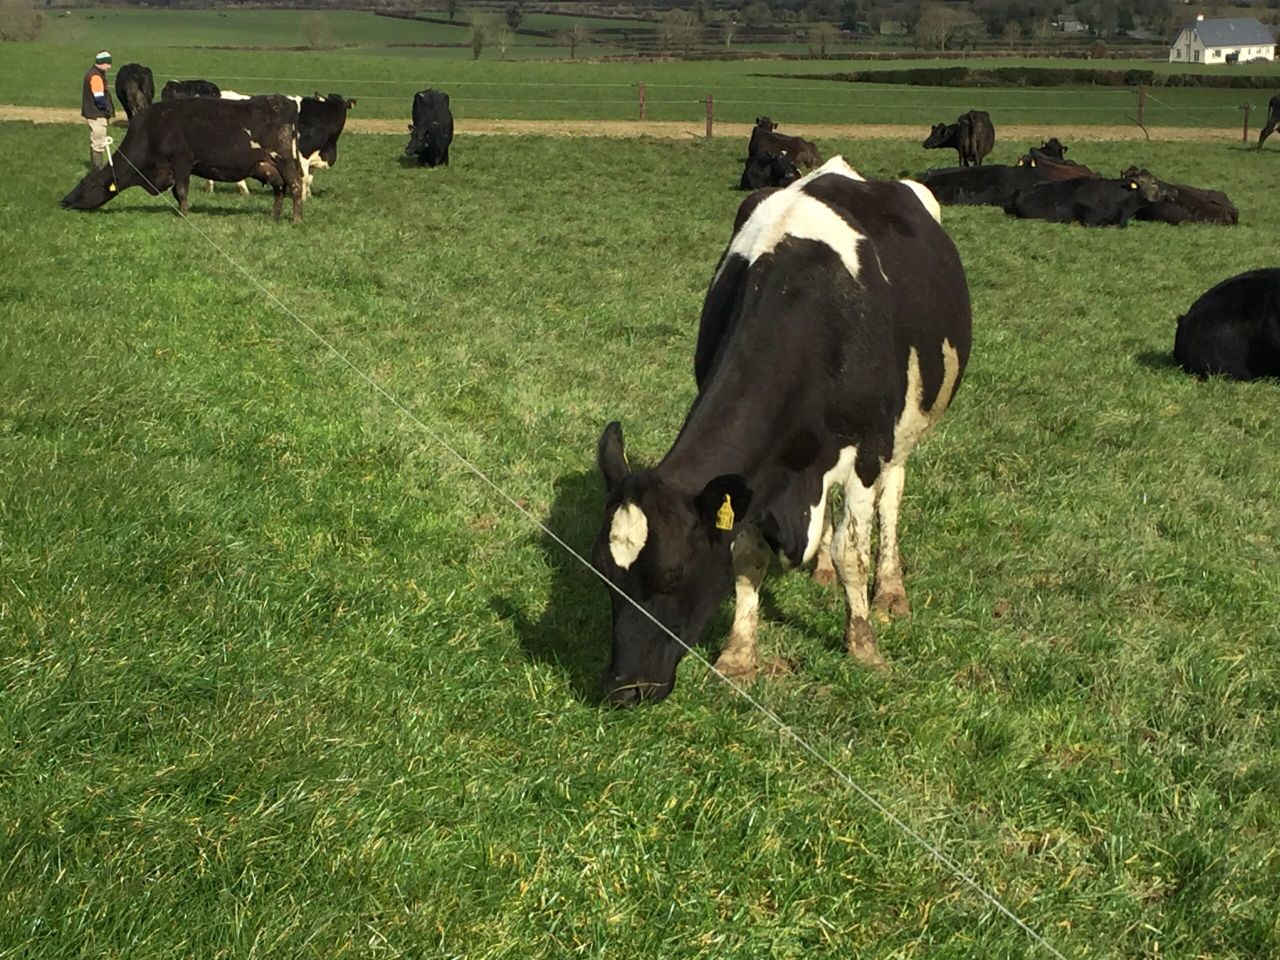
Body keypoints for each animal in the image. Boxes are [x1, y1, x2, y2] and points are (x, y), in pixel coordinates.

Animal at [60, 95, 304, 224]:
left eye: (86, 184)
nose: (64, 201)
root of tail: (284, 101)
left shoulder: (182, 161)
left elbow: (182, 190)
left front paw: (184, 215)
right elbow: (177, 193)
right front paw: (180, 211)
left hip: (284, 160)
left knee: (295, 185)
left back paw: (296, 219)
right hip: (269, 167)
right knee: (279, 189)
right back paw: (274, 216)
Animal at [592, 157, 971, 705]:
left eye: (672, 575)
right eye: (603, 573)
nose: (623, 689)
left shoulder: (867, 451)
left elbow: (853, 551)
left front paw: (863, 646)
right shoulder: (757, 476)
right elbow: (748, 554)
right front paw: (739, 655)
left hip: (906, 427)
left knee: (892, 497)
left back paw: (890, 588)